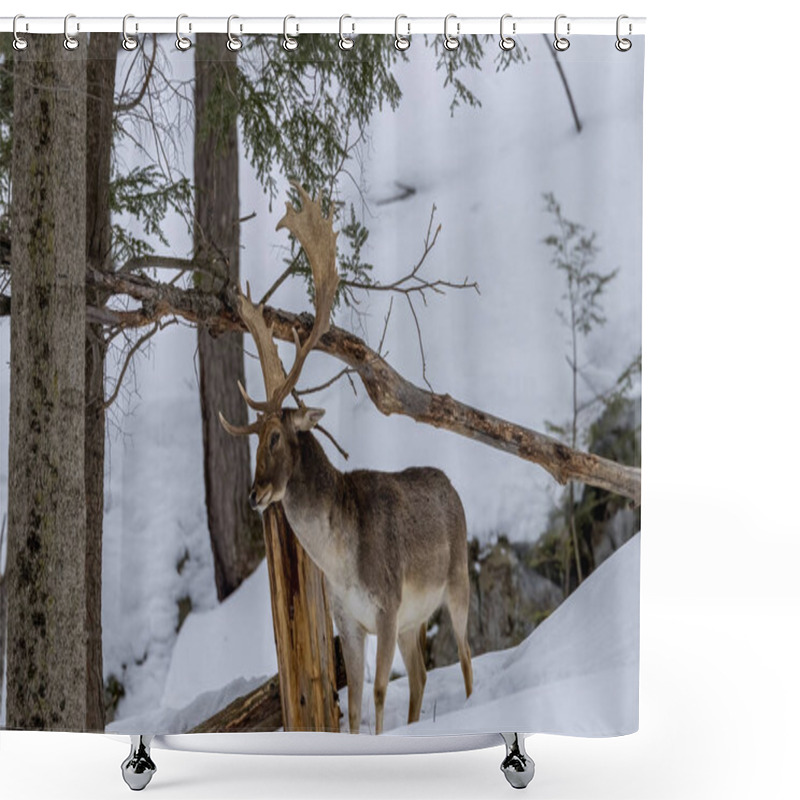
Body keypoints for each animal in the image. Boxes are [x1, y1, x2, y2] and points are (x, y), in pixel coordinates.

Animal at [219, 184, 472, 736]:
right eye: (254, 440)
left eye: (276, 437)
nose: (254, 493)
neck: (340, 561)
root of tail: (454, 488)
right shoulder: (348, 621)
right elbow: (353, 703)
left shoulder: (387, 603)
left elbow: (376, 694)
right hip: (415, 618)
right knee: (421, 674)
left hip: (456, 581)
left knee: (465, 658)